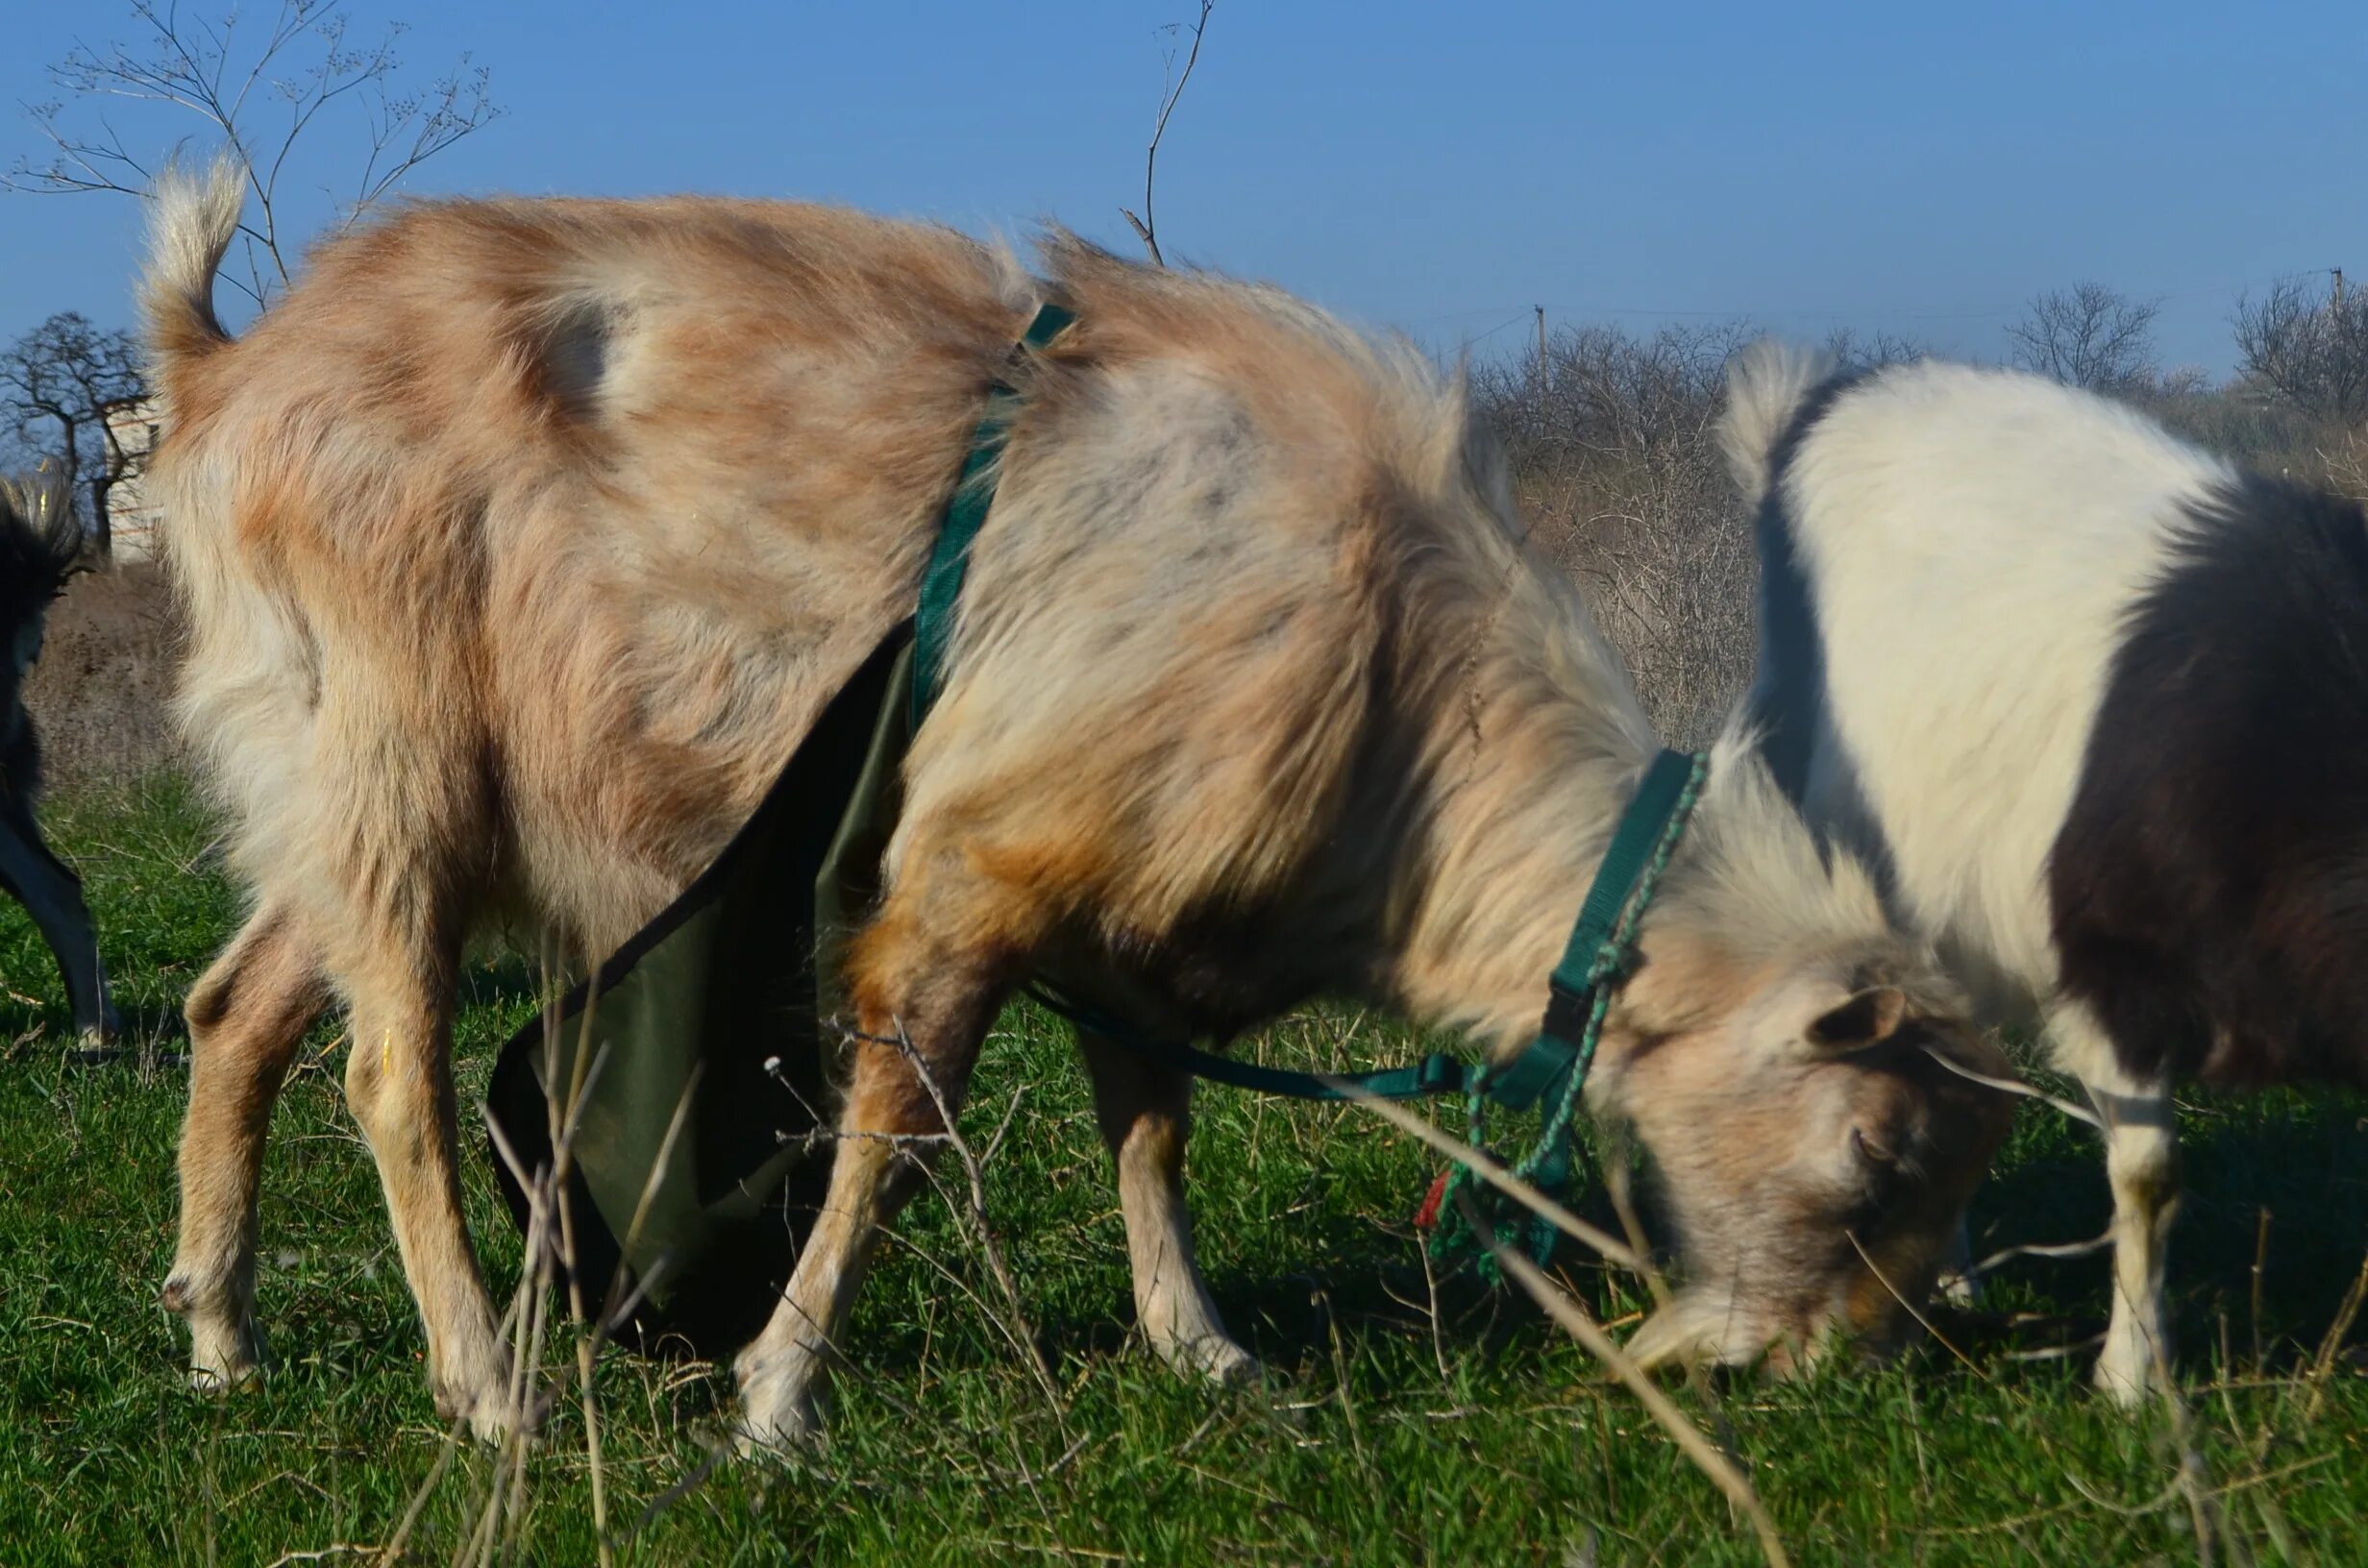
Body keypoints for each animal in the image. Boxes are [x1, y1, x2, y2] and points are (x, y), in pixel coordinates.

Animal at [138, 165, 2008, 1458]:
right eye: (1874, 1152)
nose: (1835, 1383)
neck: (1401, 701)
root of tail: (222, 374)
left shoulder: (1125, 904)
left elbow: (1151, 1129)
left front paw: (1206, 1351)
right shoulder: (967, 873)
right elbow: (896, 1142)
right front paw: (778, 1393)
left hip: (325, 787)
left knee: (235, 1012)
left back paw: (220, 1334)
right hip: (395, 763)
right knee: (390, 1075)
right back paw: (483, 1385)